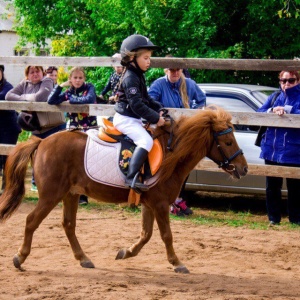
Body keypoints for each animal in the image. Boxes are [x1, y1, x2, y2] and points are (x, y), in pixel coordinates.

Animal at [0, 106, 247, 274]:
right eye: (227, 143)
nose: (243, 168)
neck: (171, 153)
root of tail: (42, 142)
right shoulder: (160, 205)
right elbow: (166, 235)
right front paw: (177, 263)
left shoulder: (150, 204)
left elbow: (146, 235)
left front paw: (125, 253)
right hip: (51, 196)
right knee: (31, 221)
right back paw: (20, 258)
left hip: (70, 194)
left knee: (68, 225)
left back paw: (84, 258)